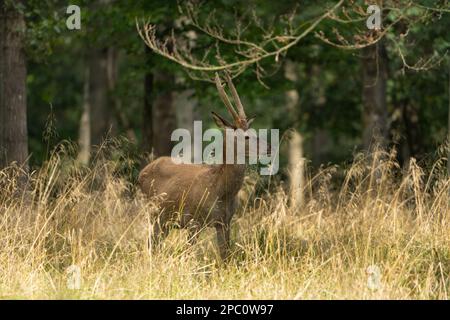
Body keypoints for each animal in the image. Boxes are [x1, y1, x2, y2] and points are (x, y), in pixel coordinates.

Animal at [139, 72, 262, 260]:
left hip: (165, 220)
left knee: (153, 244)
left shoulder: (225, 222)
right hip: (154, 213)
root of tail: (141, 173)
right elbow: (190, 255)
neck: (221, 191)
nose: (268, 147)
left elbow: (226, 256)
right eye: (245, 137)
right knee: (150, 245)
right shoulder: (192, 220)